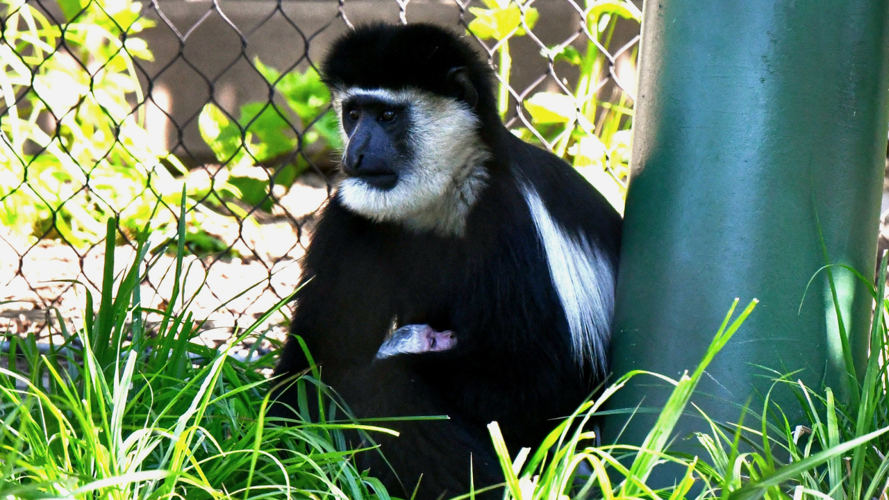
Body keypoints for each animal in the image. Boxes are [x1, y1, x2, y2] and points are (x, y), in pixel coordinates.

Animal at [269, 23, 622, 500]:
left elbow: (541, 383)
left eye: (387, 116)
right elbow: (313, 358)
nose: (354, 155)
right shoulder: (352, 213)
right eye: (353, 113)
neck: (444, 201)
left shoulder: (513, 224)